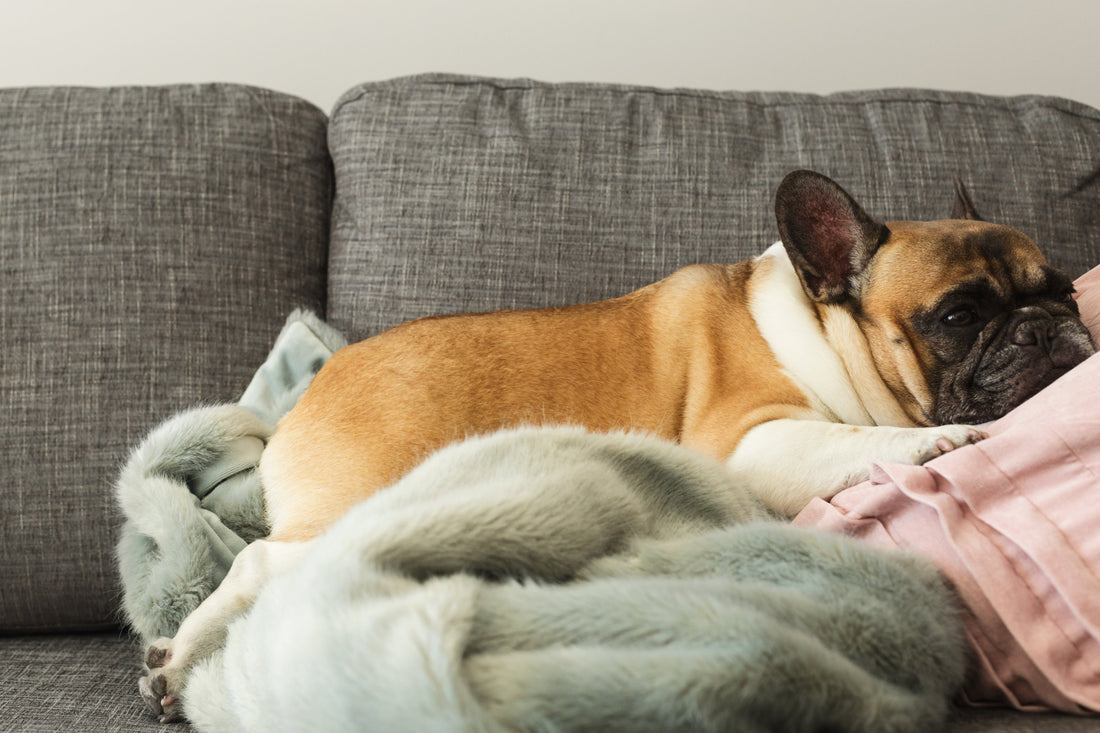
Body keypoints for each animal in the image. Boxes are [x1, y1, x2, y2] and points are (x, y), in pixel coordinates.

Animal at [135, 169, 1091, 717]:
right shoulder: (751, 442)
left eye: (1064, 291)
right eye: (958, 316)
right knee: (260, 565)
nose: (1049, 325)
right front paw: (948, 435)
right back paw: (178, 663)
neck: (822, 329)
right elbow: (861, 438)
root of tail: (309, 395)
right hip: (355, 500)